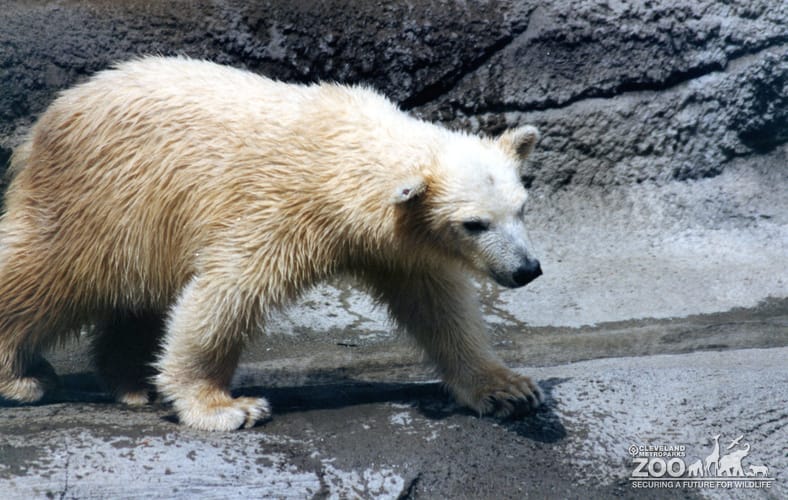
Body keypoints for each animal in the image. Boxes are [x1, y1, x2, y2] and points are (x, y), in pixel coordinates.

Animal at [0, 56, 543, 431]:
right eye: (474, 223)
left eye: (521, 207)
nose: (527, 269)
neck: (342, 155)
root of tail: (51, 116)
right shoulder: (279, 207)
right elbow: (227, 292)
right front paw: (225, 407)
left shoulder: (398, 242)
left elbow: (439, 306)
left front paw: (508, 389)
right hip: (99, 195)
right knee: (46, 271)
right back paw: (24, 379)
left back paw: (134, 385)